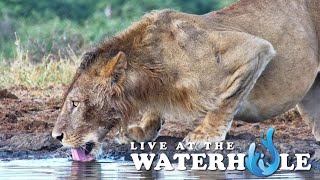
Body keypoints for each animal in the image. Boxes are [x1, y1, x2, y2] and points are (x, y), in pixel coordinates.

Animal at [51, 0, 318, 161]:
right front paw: (142, 131)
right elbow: (154, 110)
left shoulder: (252, 50)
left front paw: (204, 136)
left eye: (75, 103)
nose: (56, 137)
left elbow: (224, 102)